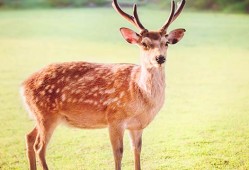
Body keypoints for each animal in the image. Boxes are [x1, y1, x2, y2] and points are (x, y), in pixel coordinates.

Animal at [20, 0, 186, 170]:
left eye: (166, 43)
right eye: (144, 44)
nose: (160, 58)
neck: (141, 97)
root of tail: (23, 85)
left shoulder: (137, 125)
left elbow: (137, 150)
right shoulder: (114, 118)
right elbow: (118, 153)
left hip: (40, 115)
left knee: (29, 137)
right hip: (45, 114)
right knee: (39, 147)